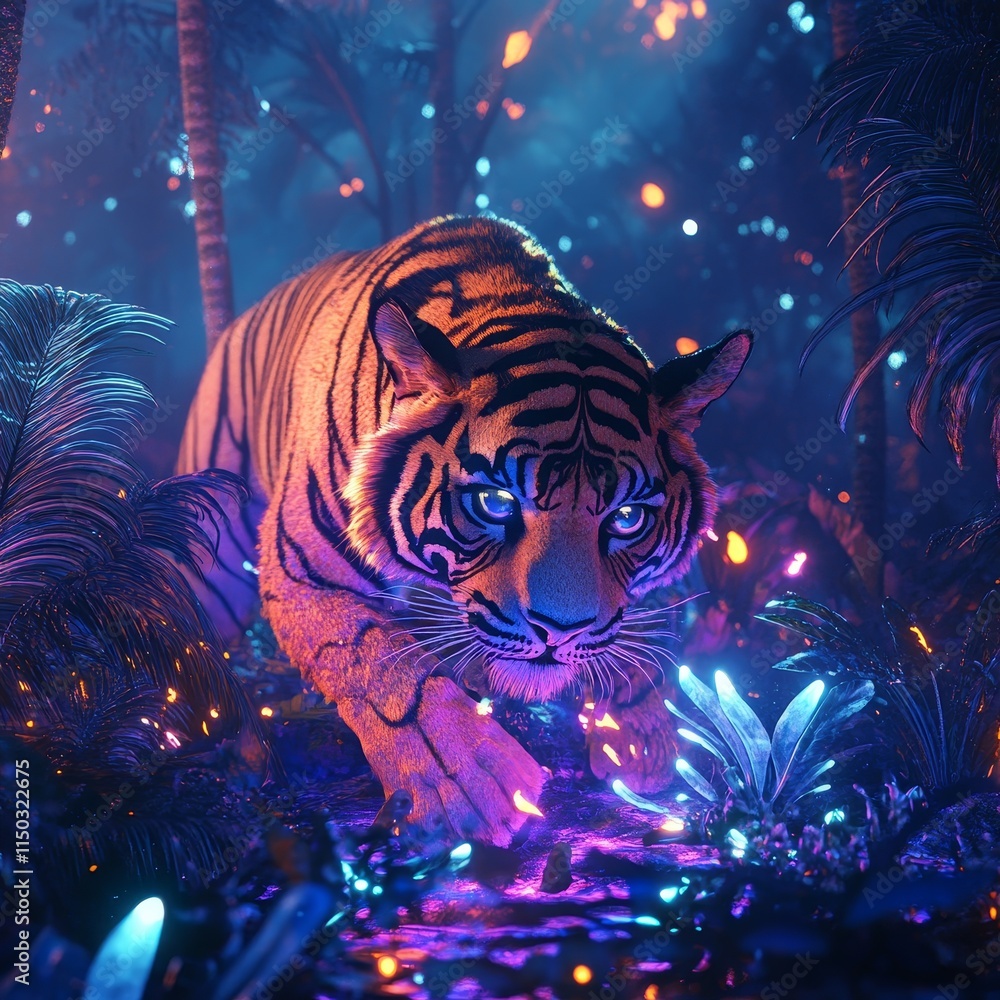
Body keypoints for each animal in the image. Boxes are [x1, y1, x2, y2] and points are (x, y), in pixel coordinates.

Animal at [177, 215, 752, 845]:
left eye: (627, 517)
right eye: (495, 502)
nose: (562, 632)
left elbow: (639, 629)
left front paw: (644, 737)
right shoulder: (303, 570)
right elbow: (379, 663)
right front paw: (472, 784)